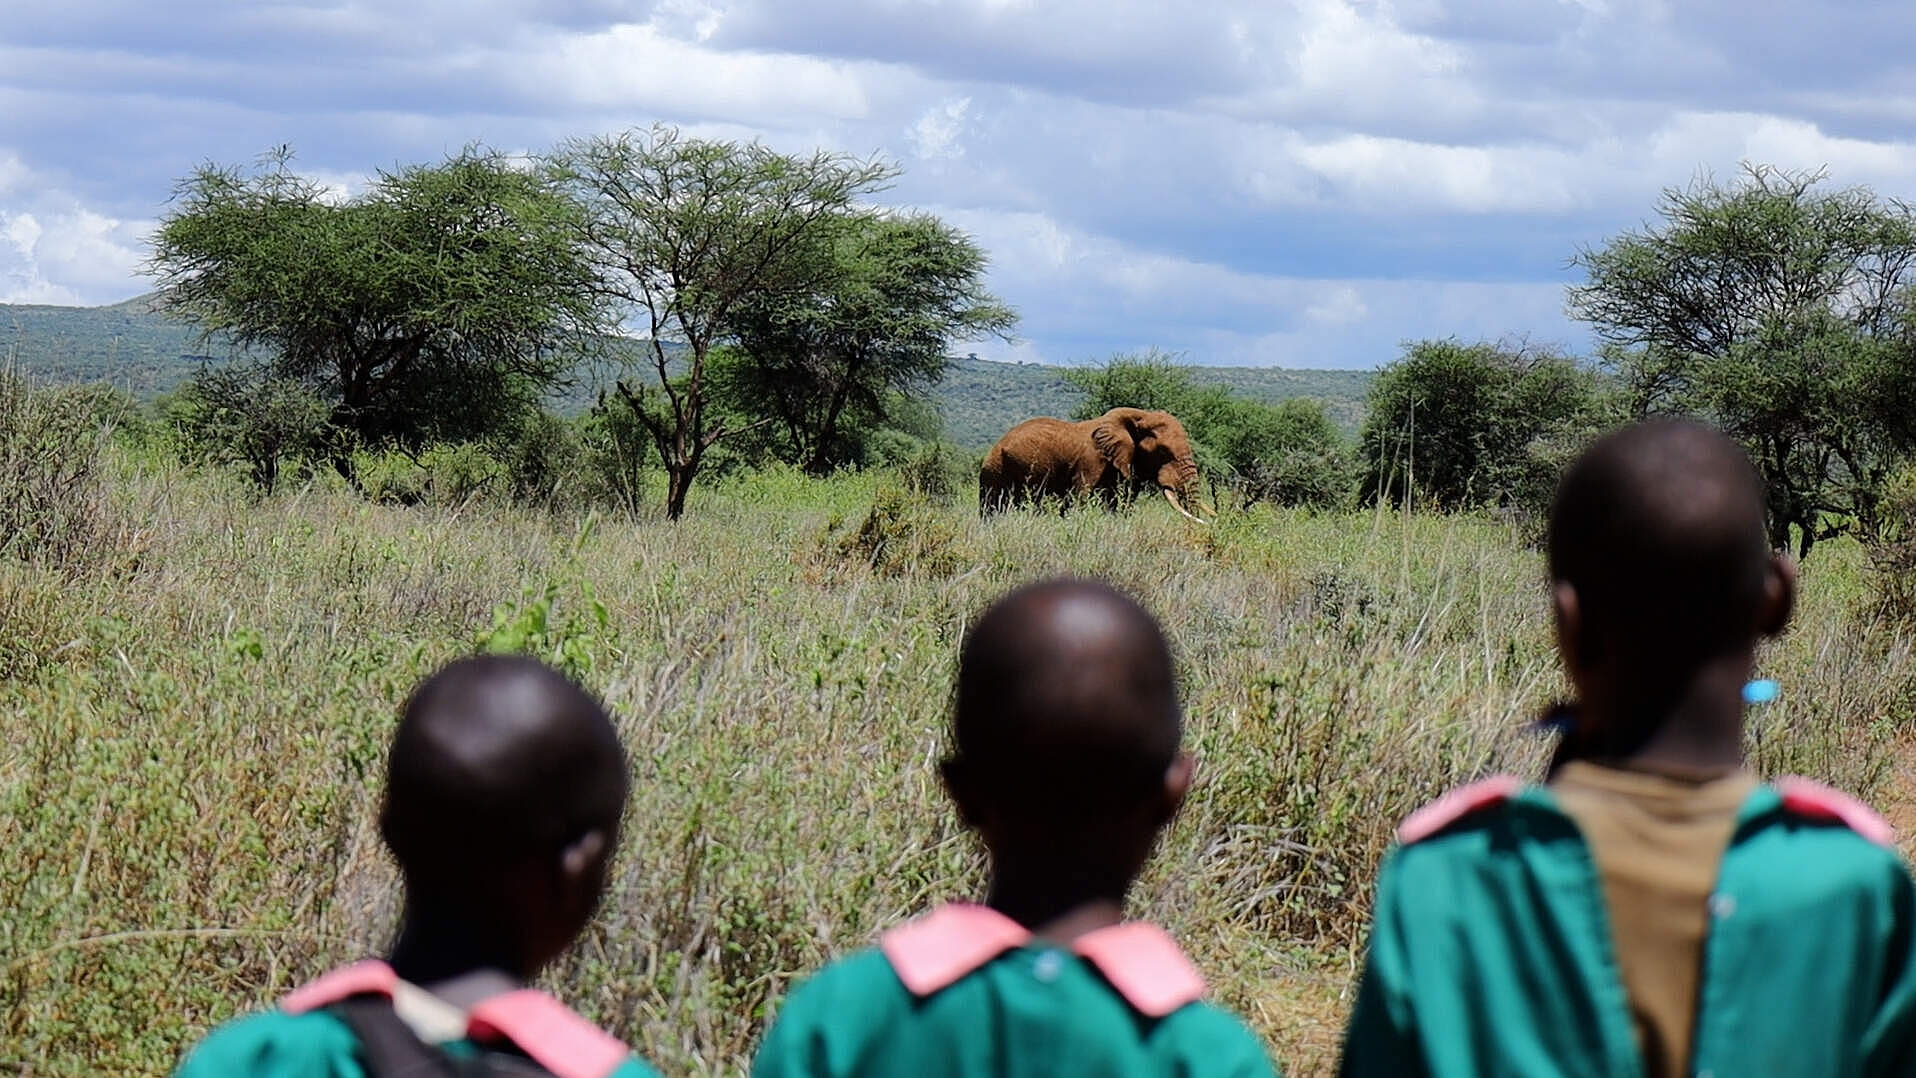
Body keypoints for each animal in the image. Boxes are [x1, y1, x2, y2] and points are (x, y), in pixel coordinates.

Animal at [979, 407, 1208, 523]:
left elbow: (1122, 505)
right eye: (1163, 452)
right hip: (994, 469)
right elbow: (1079, 500)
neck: (1140, 415)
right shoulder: (1090, 462)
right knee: (992, 507)